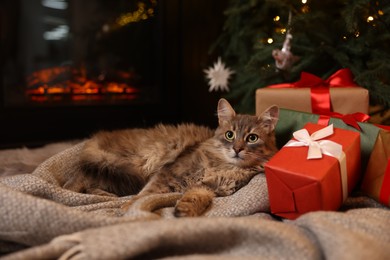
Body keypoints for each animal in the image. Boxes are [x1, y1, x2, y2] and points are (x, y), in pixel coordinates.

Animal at [64, 98, 278, 216]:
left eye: (252, 138)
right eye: (230, 135)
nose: (237, 149)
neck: (226, 167)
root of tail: (98, 137)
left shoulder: (209, 188)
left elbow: (197, 197)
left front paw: (185, 210)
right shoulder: (168, 173)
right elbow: (145, 195)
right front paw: (128, 207)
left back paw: (105, 195)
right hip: (131, 163)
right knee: (78, 178)